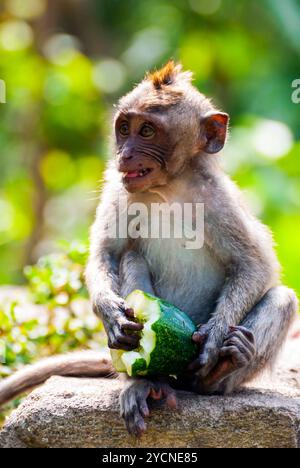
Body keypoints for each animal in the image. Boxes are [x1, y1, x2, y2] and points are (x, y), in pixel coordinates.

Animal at [0, 62, 296, 438]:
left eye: (148, 131)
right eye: (124, 128)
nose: (125, 154)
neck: (168, 188)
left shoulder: (219, 199)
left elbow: (255, 265)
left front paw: (214, 340)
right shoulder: (117, 186)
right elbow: (107, 253)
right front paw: (110, 312)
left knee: (283, 299)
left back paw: (219, 371)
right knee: (131, 257)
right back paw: (143, 381)